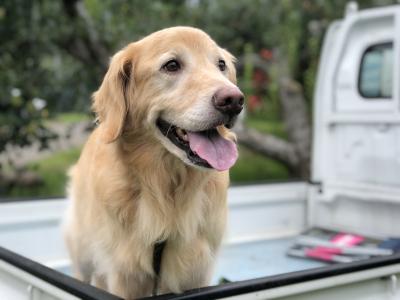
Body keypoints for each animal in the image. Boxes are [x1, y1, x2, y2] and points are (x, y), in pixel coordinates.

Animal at [64, 27, 244, 298]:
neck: (166, 187)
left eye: (221, 65)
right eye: (171, 65)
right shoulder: (124, 275)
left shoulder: (197, 270)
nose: (234, 100)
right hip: (84, 251)